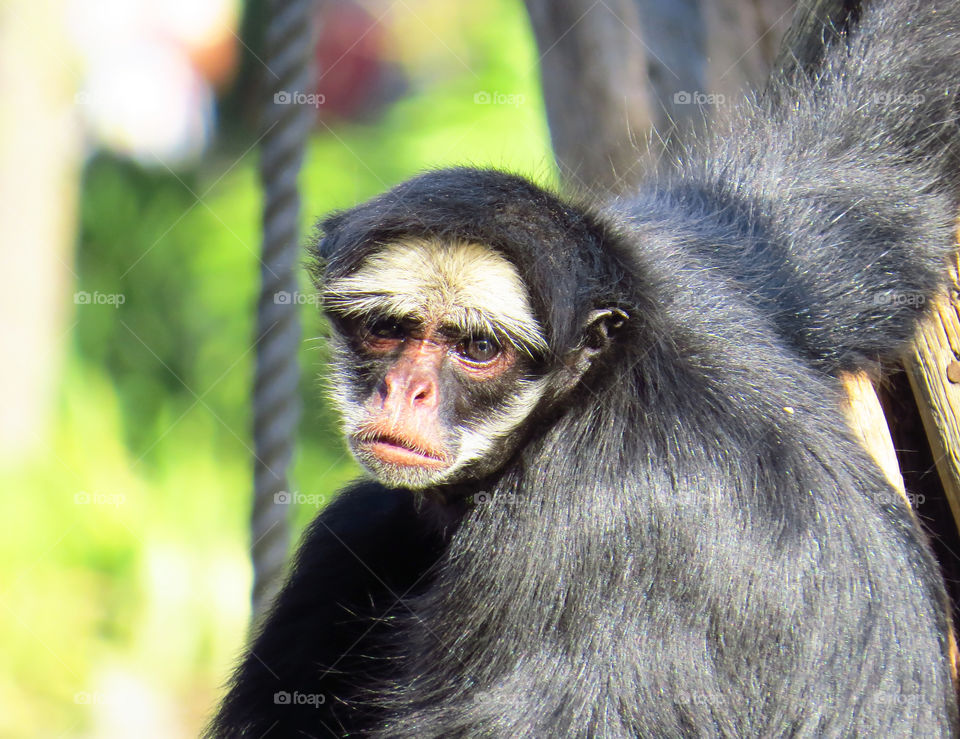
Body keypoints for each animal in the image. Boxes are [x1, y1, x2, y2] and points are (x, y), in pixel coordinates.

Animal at [208, 0, 960, 735]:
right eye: (387, 329)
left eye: (478, 349)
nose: (406, 390)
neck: (603, 381)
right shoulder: (705, 256)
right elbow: (871, 153)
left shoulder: (581, 526)